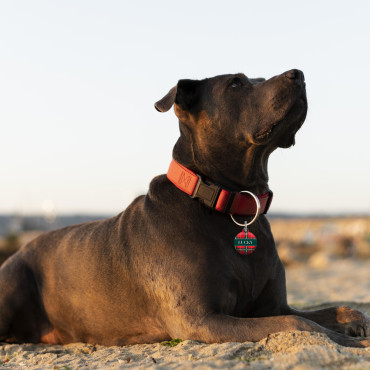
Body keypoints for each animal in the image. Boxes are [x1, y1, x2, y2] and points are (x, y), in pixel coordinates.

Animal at [0, 68, 368, 346]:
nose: (299, 74)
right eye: (236, 83)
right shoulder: (202, 319)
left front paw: (354, 322)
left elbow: (331, 310)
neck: (233, 205)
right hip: (13, 282)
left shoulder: (273, 305)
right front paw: (348, 341)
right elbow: (299, 325)